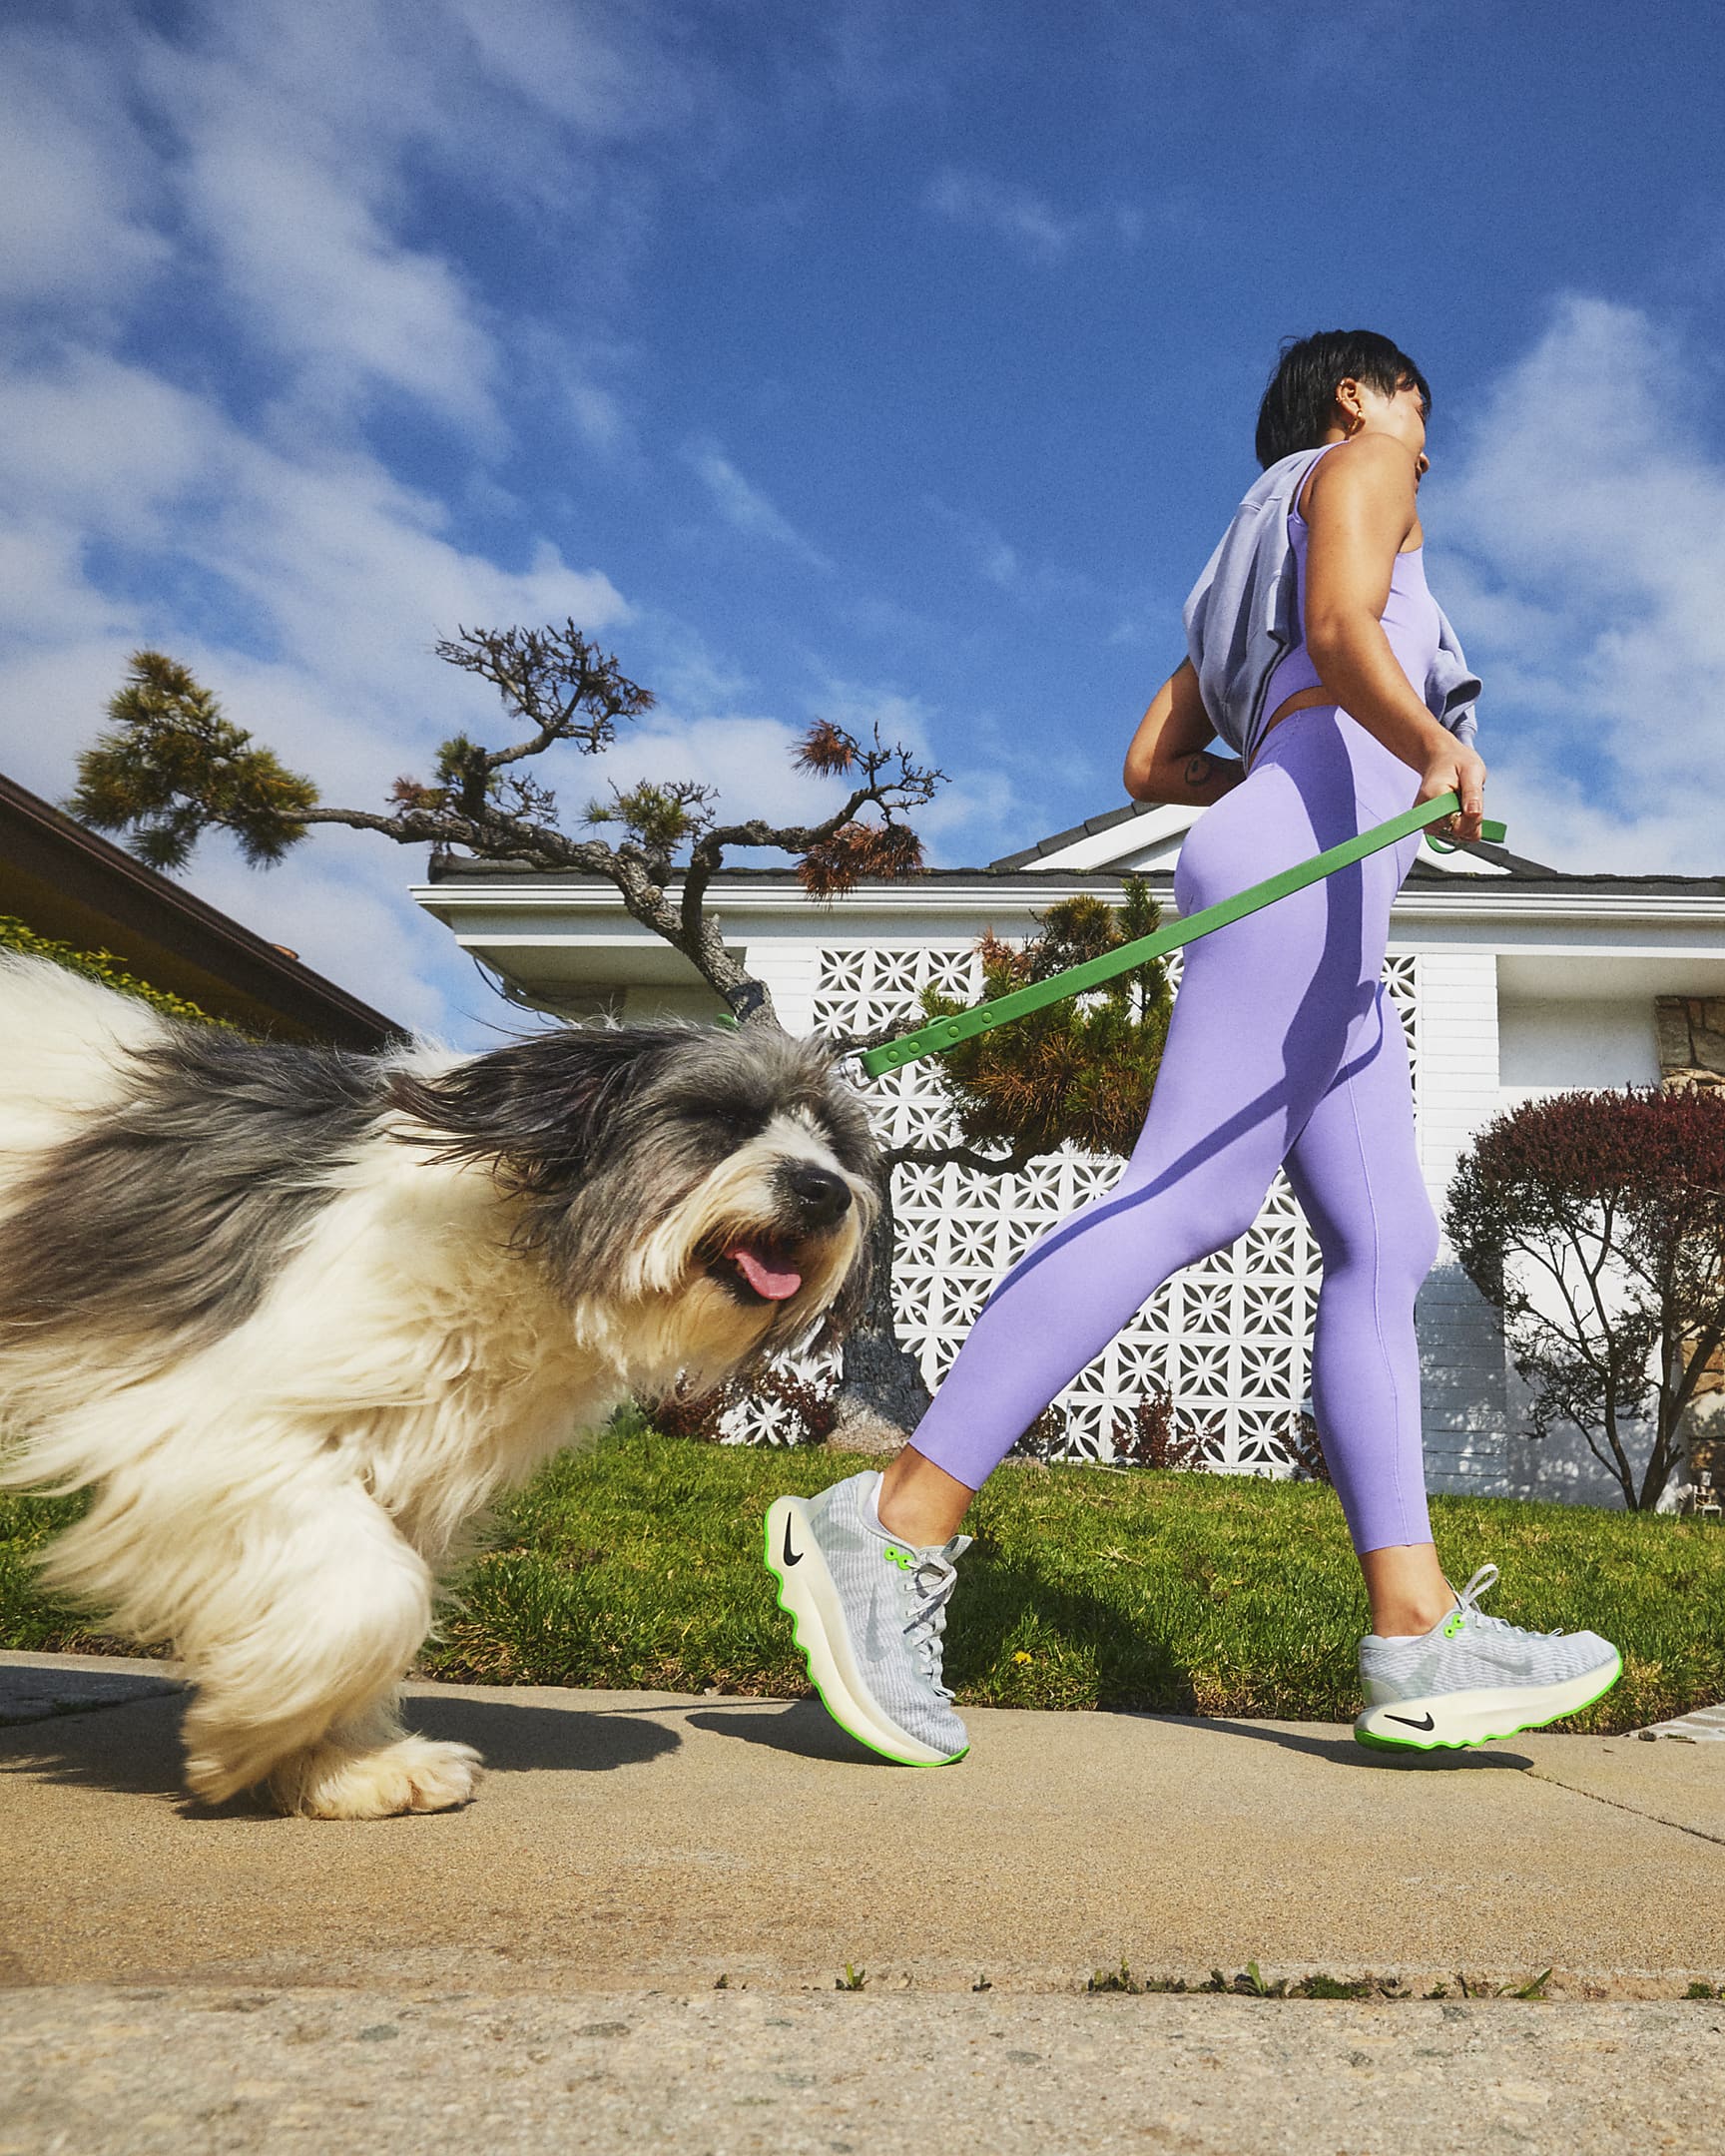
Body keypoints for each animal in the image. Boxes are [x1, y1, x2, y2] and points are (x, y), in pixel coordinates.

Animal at [0, 952, 874, 1811]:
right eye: (722, 1118)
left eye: (834, 1140)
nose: (824, 1191)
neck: (523, 1242)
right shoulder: (212, 1423)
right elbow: (376, 1597)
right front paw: (245, 1731)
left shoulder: (405, 1463)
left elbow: (379, 1598)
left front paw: (344, 1765)